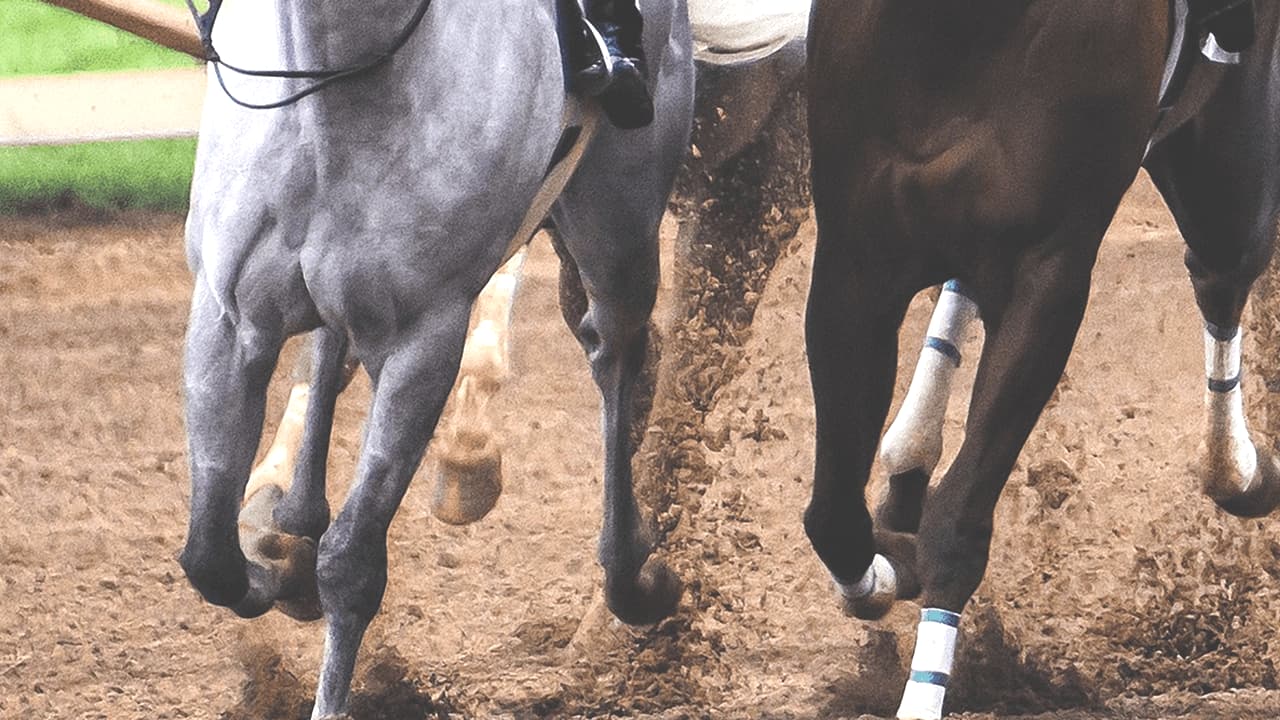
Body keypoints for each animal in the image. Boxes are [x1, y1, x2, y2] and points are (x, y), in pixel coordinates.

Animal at [174, 0, 695, 716]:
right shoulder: (226, 320)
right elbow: (210, 556)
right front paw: (278, 566)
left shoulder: (424, 339)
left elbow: (351, 564)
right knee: (329, 345)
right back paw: (294, 524)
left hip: (619, 228)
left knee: (614, 354)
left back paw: (632, 576)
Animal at [805, 2, 1280, 718]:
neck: (957, 33)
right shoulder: (854, 262)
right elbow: (833, 516)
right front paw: (887, 568)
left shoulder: (1048, 272)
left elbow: (959, 521)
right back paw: (908, 458)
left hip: (1229, 175)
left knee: (1220, 272)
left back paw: (1240, 471)